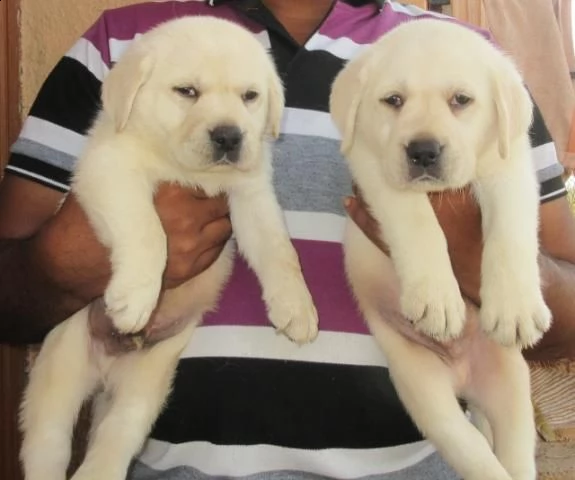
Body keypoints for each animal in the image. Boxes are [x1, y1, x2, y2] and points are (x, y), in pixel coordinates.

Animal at [20, 16, 320, 480]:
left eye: (250, 96)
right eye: (187, 91)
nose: (230, 136)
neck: (188, 168)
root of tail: (107, 370)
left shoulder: (251, 194)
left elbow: (279, 251)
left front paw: (297, 308)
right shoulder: (111, 170)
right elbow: (149, 232)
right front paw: (135, 299)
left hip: (148, 382)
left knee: (117, 435)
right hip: (60, 369)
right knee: (48, 443)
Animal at [330, 16, 552, 480]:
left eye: (461, 100)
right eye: (393, 100)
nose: (423, 151)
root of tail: (465, 379)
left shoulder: (510, 165)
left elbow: (510, 229)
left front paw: (516, 309)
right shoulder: (375, 167)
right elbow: (418, 223)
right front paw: (437, 300)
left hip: (512, 388)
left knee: (514, 456)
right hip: (424, 393)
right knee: (473, 450)